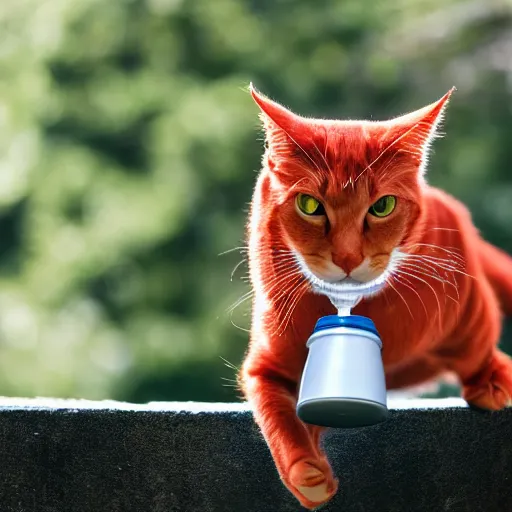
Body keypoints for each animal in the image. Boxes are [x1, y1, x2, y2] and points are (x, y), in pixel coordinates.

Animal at [239, 84, 512, 508]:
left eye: (382, 206)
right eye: (310, 205)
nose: (348, 257)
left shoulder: (469, 307)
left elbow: (479, 346)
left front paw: (491, 380)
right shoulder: (264, 365)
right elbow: (277, 414)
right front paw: (308, 474)